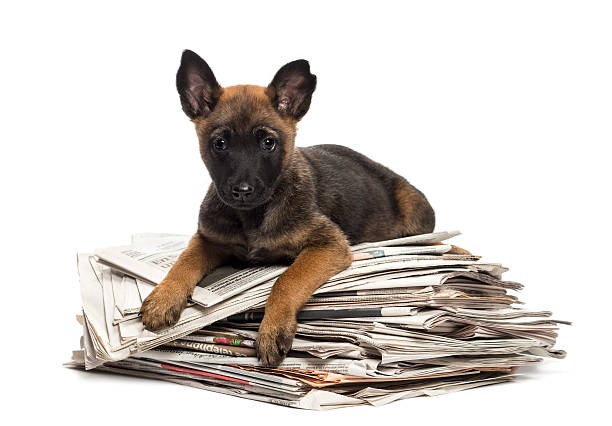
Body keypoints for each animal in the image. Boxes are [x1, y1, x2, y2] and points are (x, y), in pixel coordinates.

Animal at [141, 50, 438, 366]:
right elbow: (182, 262)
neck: (253, 217)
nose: (242, 191)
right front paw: (164, 297)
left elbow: (286, 280)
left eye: (268, 143)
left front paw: (273, 329)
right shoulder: (208, 239)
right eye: (220, 143)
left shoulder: (328, 245)